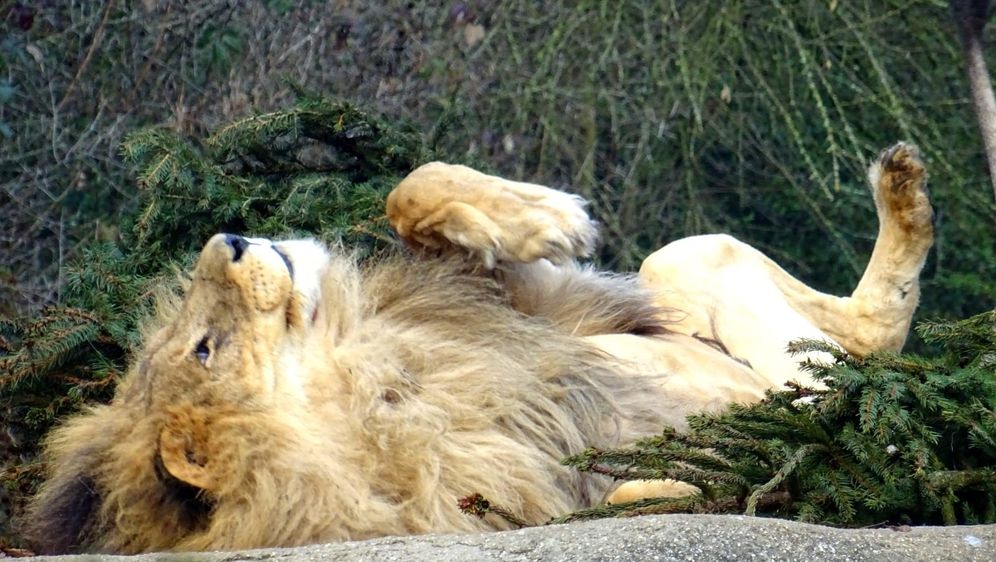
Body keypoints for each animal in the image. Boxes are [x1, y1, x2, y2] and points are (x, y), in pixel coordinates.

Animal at [25, 141, 932, 552]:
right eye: (204, 349)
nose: (229, 236)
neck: (376, 377)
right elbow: (629, 489)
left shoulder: (531, 315)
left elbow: (413, 191)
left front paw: (540, 215)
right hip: (808, 397)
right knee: (849, 383)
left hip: (680, 264)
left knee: (866, 341)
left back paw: (903, 188)